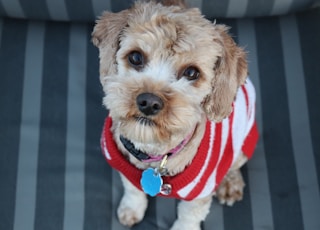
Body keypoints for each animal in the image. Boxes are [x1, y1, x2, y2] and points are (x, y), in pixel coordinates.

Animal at [92, 0, 258, 229]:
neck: (154, 155)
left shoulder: (199, 195)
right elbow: (133, 189)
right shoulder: (125, 168)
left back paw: (229, 183)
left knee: (234, 164)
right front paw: (131, 209)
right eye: (135, 57)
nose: (149, 102)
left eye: (191, 72)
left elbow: (188, 216)